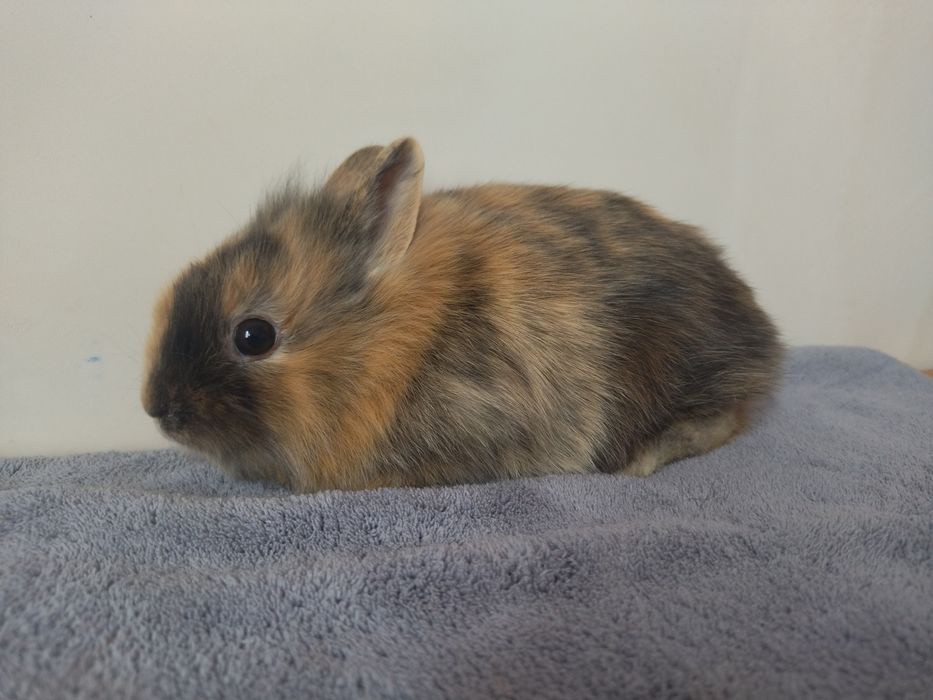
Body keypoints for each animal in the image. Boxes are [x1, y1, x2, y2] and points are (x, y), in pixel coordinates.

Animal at [142, 137, 783, 492]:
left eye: (254, 335)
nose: (157, 408)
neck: (395, 343)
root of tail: (762, 332)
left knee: (721, 418)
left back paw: (641, 461)